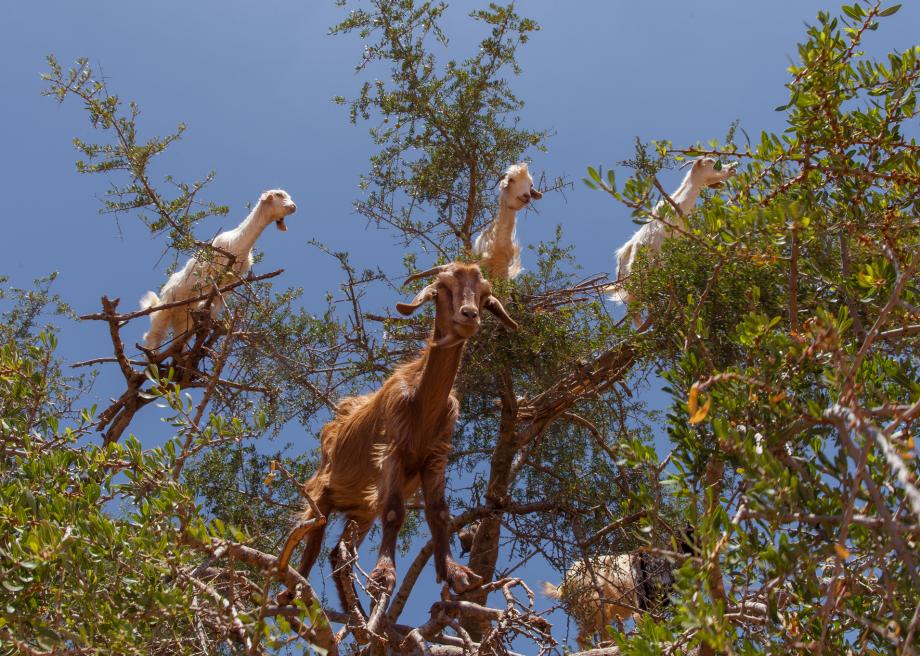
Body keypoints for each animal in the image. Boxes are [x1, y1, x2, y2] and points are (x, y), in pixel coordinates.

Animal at [138, 190, 296, 352]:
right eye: (279, 195)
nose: (293, 207)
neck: (239, 243)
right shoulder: (211, 272)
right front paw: (204, 306)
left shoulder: (230, 283)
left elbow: (219, 301)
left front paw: (213, 317)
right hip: (167, 307)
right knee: (153, 336)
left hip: (183, 321)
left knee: (178, 342)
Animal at [280, 260, 516, 604]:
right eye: (443, 288)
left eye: (485, 296)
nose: (469, 315)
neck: (421, 403)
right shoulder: (391, 449)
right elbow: (393, 512)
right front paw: (383, 576)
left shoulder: (435, 457)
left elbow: (439, 513)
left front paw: (455, 573)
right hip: (321, 490)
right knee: (311, 540)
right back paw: (292, 591)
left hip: (361, 508)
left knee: (339, 553)